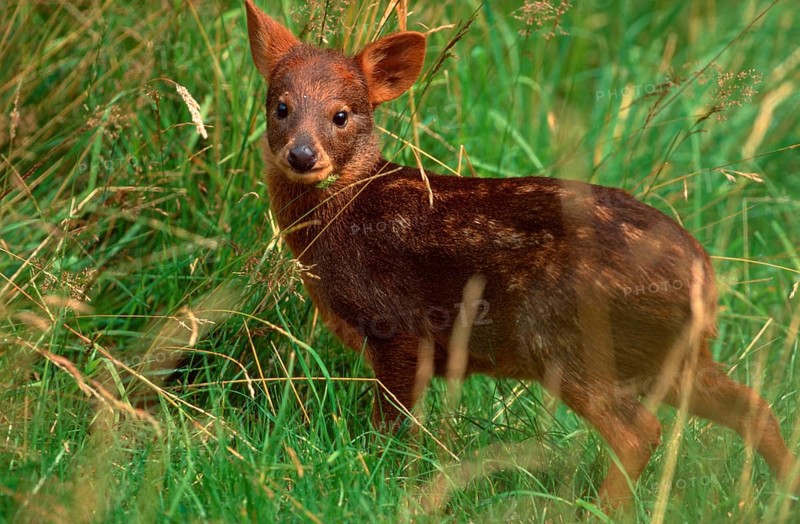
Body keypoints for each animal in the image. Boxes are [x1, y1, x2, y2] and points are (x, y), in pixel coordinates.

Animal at [244, 0, 797, 511]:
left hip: (568, 336)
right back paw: (778, 493)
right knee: (754, 407)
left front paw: (383, 480)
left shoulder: (396, 326)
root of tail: (704, 276)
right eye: (280, 106)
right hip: (672, 354)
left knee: (640, 431)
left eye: (340, 114)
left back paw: (598, 509)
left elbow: (393, 427)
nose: (302, 155)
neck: (349, 213)